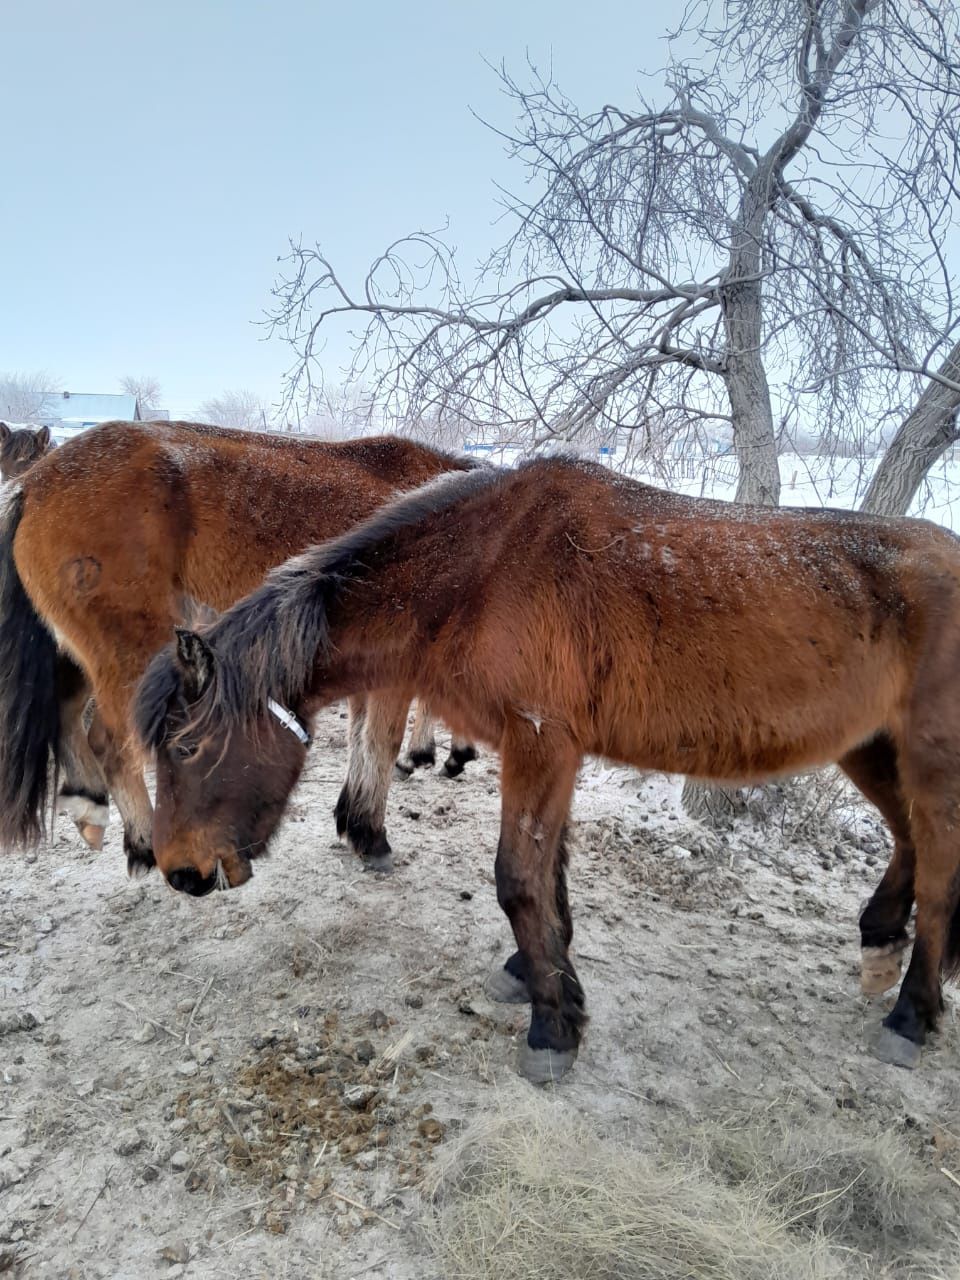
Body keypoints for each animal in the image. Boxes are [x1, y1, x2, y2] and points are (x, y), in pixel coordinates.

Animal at [0, 419, 481, 870]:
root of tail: (32, 485)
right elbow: (381, 742)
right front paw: (371, 833)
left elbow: (362, 741)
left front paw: (355, 818)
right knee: (111, 744)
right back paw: (145, 843)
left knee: (66, 714)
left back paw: (89, 806)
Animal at [133, 458, 960, 1080]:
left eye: (188, 749)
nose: (181, 874)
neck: (482, 569)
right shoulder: (546, 751)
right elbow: (550, 877)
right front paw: (542, 980)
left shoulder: (540, 743)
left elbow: (518, 879)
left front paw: (552, 1029)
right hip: (866, 745)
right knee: (908, 843)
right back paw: (880, 944)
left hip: (927, 754)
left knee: (941, 876)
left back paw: (910, 1015)